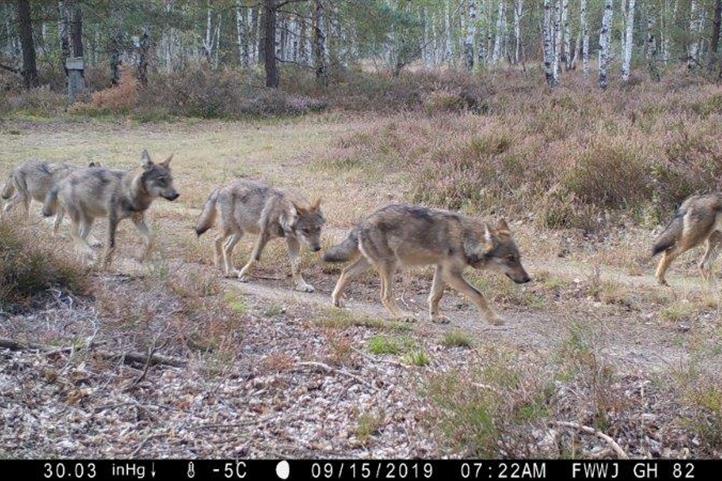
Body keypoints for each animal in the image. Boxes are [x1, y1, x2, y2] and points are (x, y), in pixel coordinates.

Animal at [42, 150, 179, 268]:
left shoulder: (138, 219)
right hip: (76, 216)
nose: (177, 194)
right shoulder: (112, 219)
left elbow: (150, 239)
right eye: (161, 180)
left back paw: (84, 260)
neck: (130, 192)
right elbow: (112, 245)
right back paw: (89, 254)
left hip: (89, 221)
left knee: (80, 237)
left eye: (171, 180)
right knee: (73, 234)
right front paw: (105, 266)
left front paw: (141, 257)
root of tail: (63, 180)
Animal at [194, 180, 324, 292]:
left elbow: (297, 265)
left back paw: (230, 271)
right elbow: (255, 257)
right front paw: (244, 274)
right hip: (230, 229)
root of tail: (222, 187)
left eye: (318, 229)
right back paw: (222, 268)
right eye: (305, 230)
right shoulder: (264, 235)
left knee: (226, 247)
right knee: (216, 239)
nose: (318, 248)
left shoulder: (292, 240)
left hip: (239, 232)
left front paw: (302, 286)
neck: (282, 212)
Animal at [322, 204, 528, 324]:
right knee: (385, 296)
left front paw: (435, 317)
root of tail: (363, 222)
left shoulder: (442, 271)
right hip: (390, 266)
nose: (528, 279)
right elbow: (478, 294)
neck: (465, 239)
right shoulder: (452, 274)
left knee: (346, 271)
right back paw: (402, 316)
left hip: (370, 264)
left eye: (519, 258)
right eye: (510, 258)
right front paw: (493, 318)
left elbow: (435, 296)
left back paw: (336, 300)